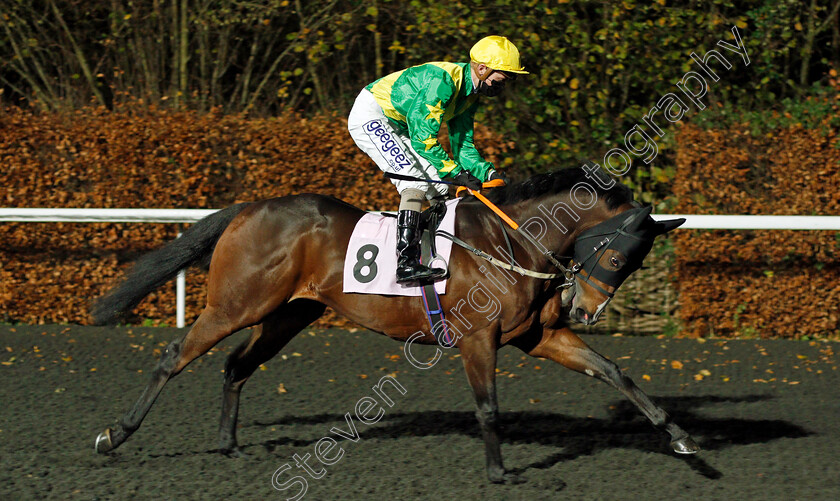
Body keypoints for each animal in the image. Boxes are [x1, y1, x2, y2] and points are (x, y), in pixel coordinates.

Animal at [92, 167, 700, 480]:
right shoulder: (477, 338)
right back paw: (114, 434)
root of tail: (248, 207)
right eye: (616, 256)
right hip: (237, 304)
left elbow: (614, 371)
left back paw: (228, 444)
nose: (585, 309)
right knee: (174, 357)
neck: (511, 242)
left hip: (289, 313)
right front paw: (499, 473)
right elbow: (488, 407)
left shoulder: (538, 337)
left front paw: (681, 439)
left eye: (634, 263)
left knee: (236, 365)